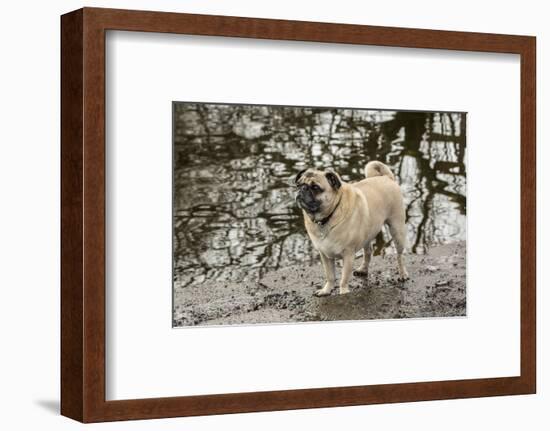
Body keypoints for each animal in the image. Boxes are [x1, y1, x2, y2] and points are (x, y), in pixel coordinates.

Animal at [298, 162, 410, 296]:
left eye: (315, 187)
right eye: (298, 185)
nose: (302, 189)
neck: (327, 217)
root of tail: (386, 177)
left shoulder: (348, 254)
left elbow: (344, 277)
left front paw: (343, 292)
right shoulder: (325, 255)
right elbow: (330, 276)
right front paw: (326, 290)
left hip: (397, 230)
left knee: (399, 256)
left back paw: (403, 274)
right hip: (367, 234)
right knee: (368, 252)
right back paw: (363, 269)